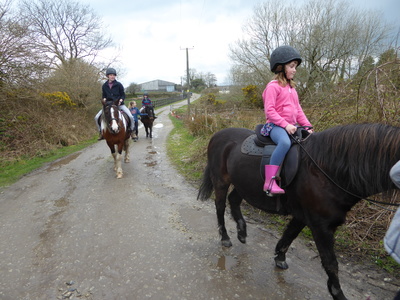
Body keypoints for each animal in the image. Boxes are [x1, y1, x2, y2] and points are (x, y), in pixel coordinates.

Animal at [197, 123, 400, 300]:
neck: (326, 171)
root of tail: (217, 135)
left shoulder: (304, 216)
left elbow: (289, 236)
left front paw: (279, 257)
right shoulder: (321, 226)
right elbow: (330, 263)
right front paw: (337, 293)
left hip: (243, 183)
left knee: (234, 200)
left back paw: (241, 231)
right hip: (221, 181)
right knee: (220, 207)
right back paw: (225, 238)